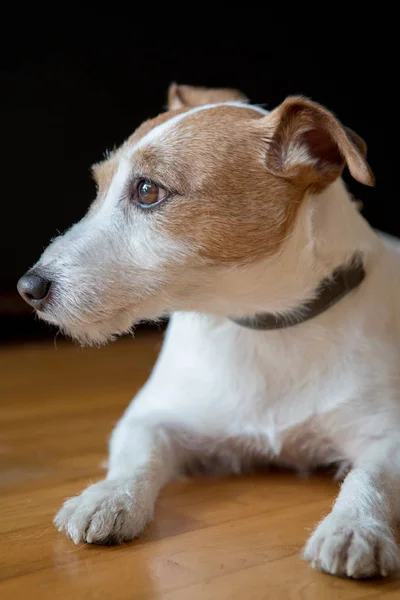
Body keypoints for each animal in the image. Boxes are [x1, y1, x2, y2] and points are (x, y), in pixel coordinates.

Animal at [17, 83, 400, 576]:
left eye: (147, 190)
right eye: (99, 186)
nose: (28, 288)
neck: (263, 326)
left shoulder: (386, 437)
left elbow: (369, 479)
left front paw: (354, 526)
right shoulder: (148, 417)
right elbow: (137, 457)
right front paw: (107, 497)